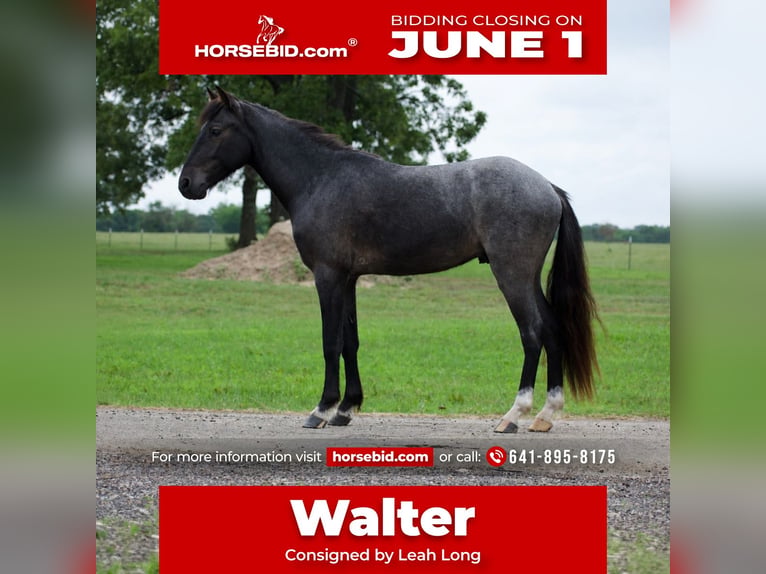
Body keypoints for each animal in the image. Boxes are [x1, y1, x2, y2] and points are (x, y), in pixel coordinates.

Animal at [179, 86, 600, 433]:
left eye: (215, 130)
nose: (185, 184)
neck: (321, 178)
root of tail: (548, 187)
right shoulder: (348, 278)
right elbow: (350, 342)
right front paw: (346, 409)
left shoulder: (328, 276)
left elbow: (330, 341)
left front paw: (322, 409)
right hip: (527, 278)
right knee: (553, 329)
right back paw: (545, 415)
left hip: (511, 275)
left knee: (532, 333)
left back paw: (514, 415)